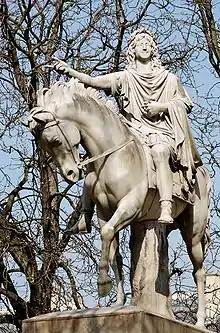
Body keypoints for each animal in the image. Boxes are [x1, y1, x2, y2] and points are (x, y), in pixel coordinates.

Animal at [28, 79, 211, 326]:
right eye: (45, 146)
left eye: (55, 140)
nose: (70, 174)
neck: (113, 155)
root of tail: (200, 171)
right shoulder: (105, 213)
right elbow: (115, 253)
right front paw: (118, 301)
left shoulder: (130, 206)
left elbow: (106, 235)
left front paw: (103, 284)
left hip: (193, 232)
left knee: (199, 271)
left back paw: (200, 321)